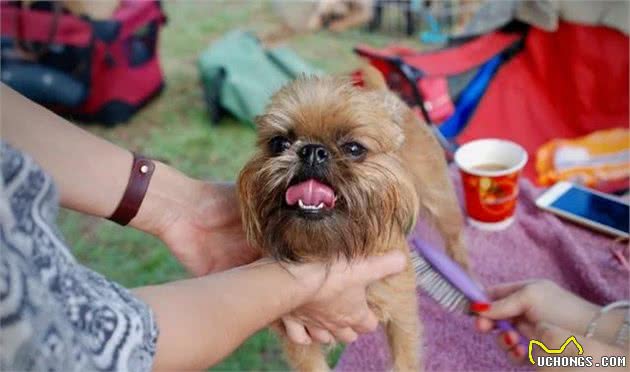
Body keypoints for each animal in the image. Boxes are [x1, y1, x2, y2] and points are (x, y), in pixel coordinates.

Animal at [239, 67, 472, 372]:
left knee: (455, 236)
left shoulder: (402, 314)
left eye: (353, 149)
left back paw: (462, 273)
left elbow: (405, 360)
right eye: (278, 143)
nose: (312, 150)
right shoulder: (299, 336)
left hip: (440, 198)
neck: (332, 251)